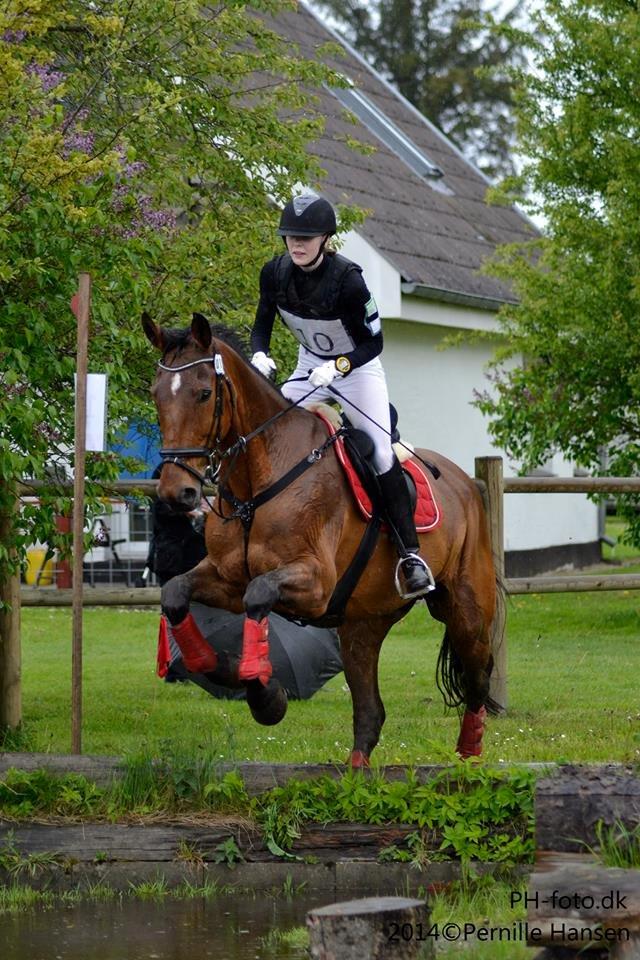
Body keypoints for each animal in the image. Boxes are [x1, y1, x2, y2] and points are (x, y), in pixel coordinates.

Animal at [144, 314, 500, 764]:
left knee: (477, 677)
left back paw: (469, 753)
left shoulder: (314, 585)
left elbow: (258, 596)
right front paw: (220, 668)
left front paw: (266, 699)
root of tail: (466, 483)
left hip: (465, 608)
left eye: (204, 393)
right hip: (363, 623)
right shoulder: (226, 578)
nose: (178, 493)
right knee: (370, 710)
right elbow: (175, 593)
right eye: (156, 395)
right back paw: (356, 768)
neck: (256, 481)